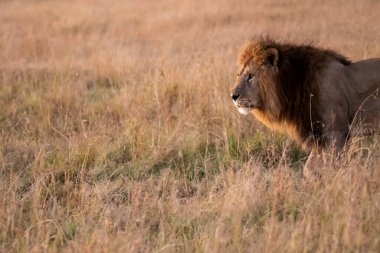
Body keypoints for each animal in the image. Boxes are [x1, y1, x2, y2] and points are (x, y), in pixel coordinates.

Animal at [232, 36, 380, 175]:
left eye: (251, 76)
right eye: (238, 75)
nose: (233, 96)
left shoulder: (336, 133)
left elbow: (331, 166)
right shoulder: (318, 135)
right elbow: (309, 169)